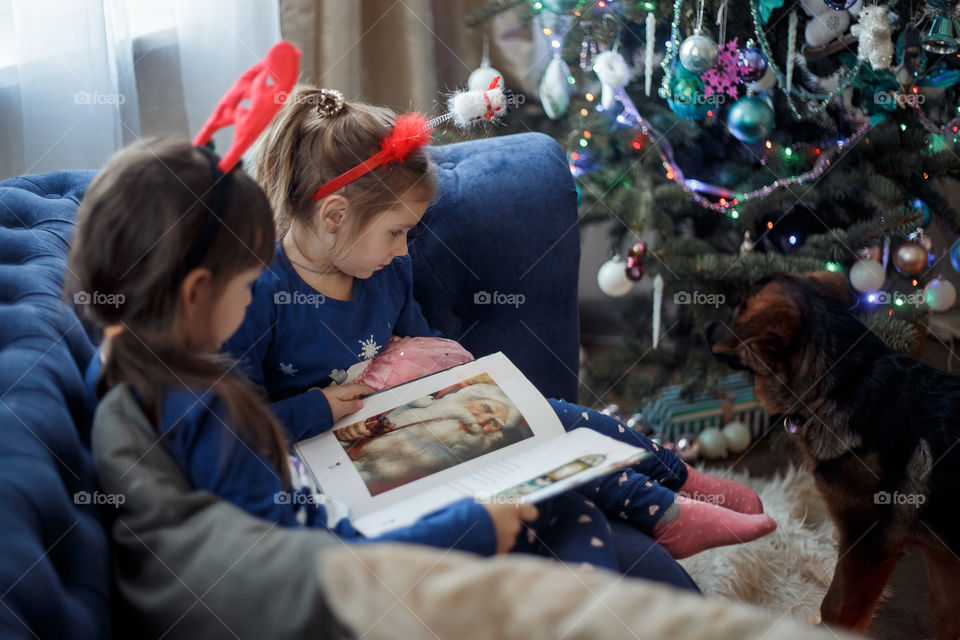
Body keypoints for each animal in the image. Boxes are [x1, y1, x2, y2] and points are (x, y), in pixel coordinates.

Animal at [704, 272, 960, 640]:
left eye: (738, 310)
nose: (704, 328)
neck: (844, 383)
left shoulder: (868, 542)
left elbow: (835, 609)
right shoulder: (941, 557)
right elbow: (948, 613)